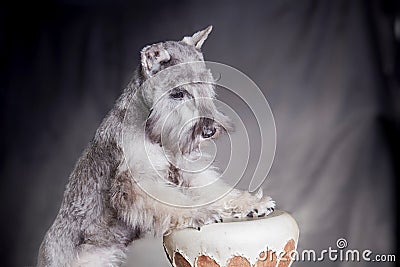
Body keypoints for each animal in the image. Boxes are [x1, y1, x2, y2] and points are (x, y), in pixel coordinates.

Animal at [37, 25, 276, 267]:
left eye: (207, 85)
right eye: (178, 93)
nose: (209, 131)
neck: (150, 124)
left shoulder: (186, 171)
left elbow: (217, 191)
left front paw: (251, 203)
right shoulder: (138, 182)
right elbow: (174, 201)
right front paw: (201, 213)